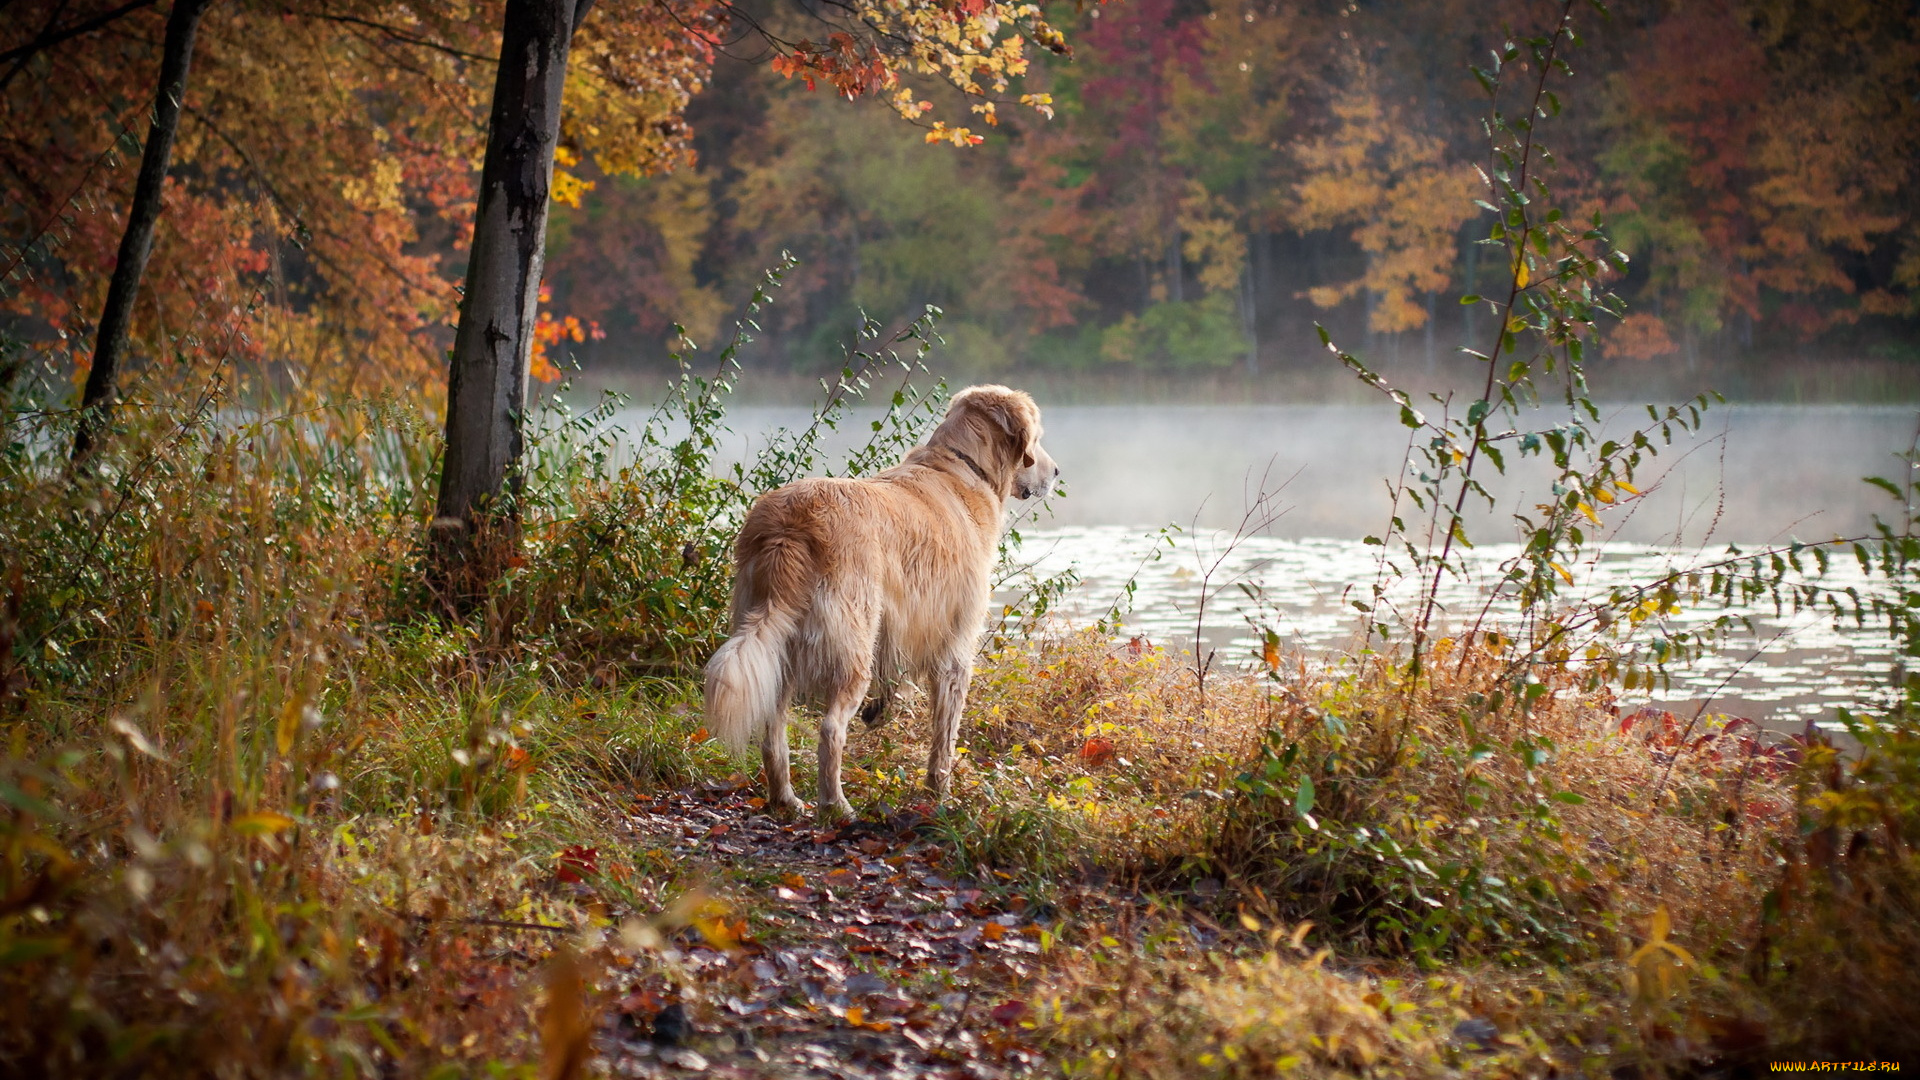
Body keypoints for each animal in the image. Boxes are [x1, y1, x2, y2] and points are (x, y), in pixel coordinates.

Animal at [706, 384, 1059, 814]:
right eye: (1038, 439)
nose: (1055, 472)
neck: (963, 467)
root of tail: (789, 527)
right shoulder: (955, 646)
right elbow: (945, 737)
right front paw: (939, 794)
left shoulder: (899, 627)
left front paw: (881, 712)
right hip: (852, 644)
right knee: (830, 730)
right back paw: (836, 805)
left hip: (777, 640)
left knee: (773, 731)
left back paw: (786, 799)